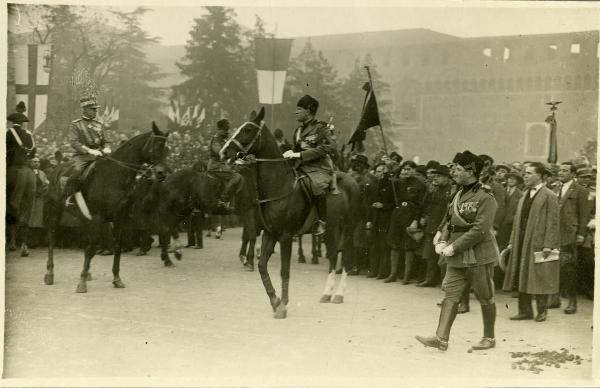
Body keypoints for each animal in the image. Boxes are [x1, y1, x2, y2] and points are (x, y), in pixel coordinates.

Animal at [44, 123, 169, 292]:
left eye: (167, 148)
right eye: (156, 146)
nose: (161, 173)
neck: (114, 177)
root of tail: (58, 168)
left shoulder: (120, 218)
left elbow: (116, 246)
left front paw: (116, 279)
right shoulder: (98, 218)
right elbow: (91, 249)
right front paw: (81, 283)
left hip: (83, 217)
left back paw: (88, 273)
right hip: (55, 210)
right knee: (52, 237)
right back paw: (50, 274)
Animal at [223, 107, 358, 318]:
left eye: (248, 130)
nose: (224, 151)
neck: (279, 184)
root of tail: (353, 180)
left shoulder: (285, 236)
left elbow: (284, 271)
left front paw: (283, 305)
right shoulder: (270, 233)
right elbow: (262, 266)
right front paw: (274, 300)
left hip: (348, 228)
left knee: (346, 256)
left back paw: (338, 294)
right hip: (331, 230)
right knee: (334, 255)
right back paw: (327, 293)